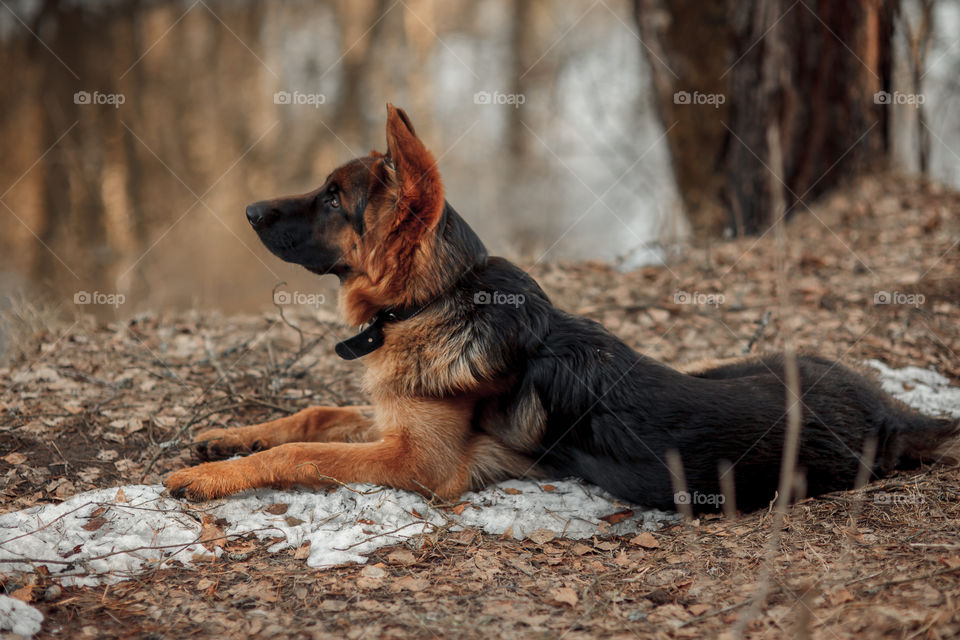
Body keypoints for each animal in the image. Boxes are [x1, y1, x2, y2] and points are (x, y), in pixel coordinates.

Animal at [165, 106, 952, 516]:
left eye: (334, 198)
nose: (249, 210)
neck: (432, 302)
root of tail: (891, 413)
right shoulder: (392, 418)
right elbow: (312, 415)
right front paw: (228, 438)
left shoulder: (417, 460)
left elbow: (305, 449)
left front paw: (210, 477)